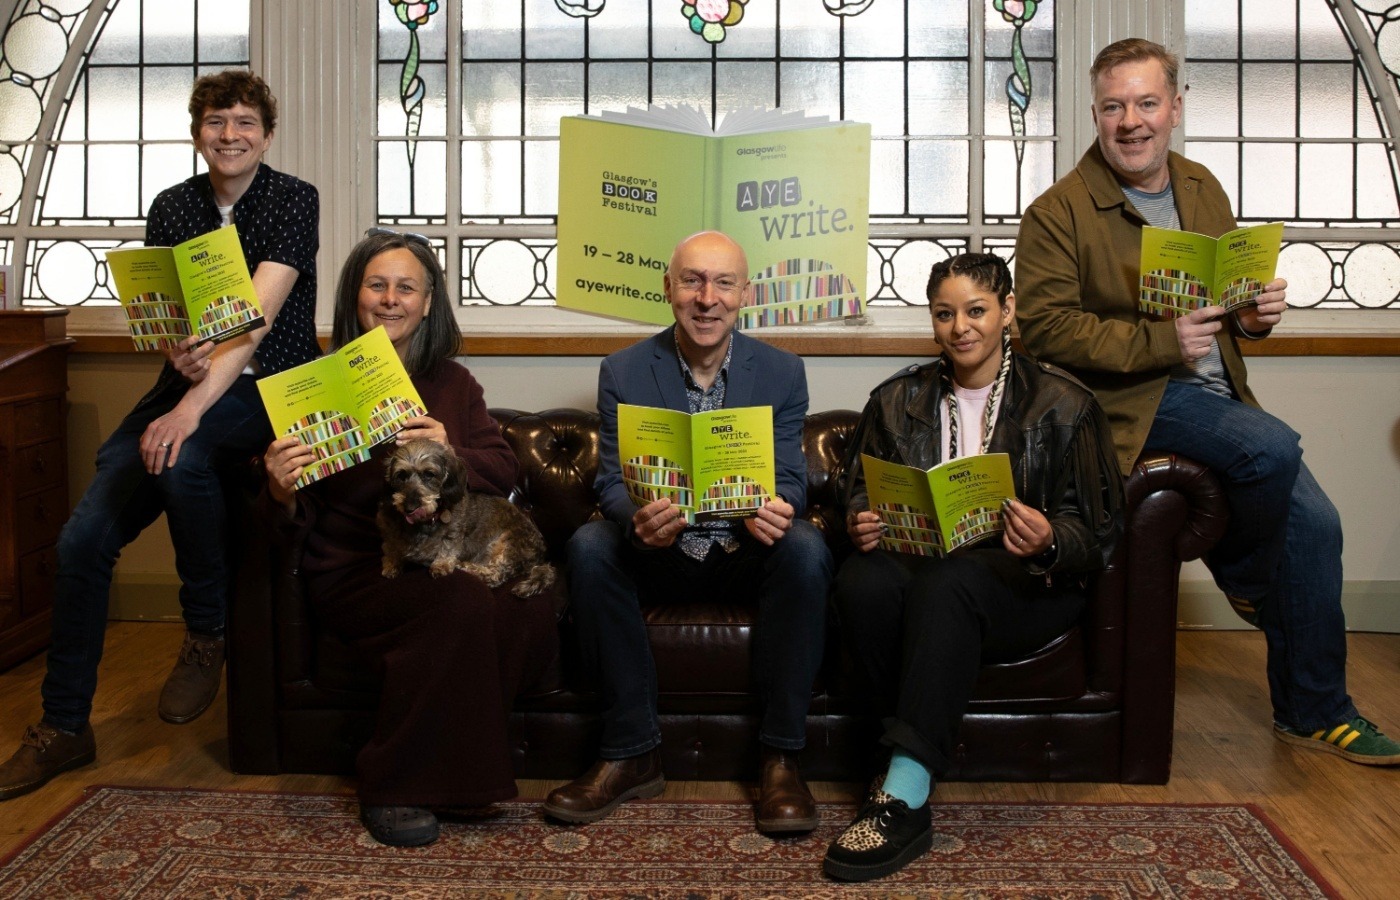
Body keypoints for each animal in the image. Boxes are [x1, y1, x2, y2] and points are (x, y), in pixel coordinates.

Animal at [380, 439, 560, 599]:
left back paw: (466, 566)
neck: (426, 521)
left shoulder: (454, 533)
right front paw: (391, 564)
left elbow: (447, 546)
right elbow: (392, 547)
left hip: (510, 544)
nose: (409, 508)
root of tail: (542, 556)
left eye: (429, 474)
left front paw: (441, 565)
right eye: (401, 475)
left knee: (495, 575)